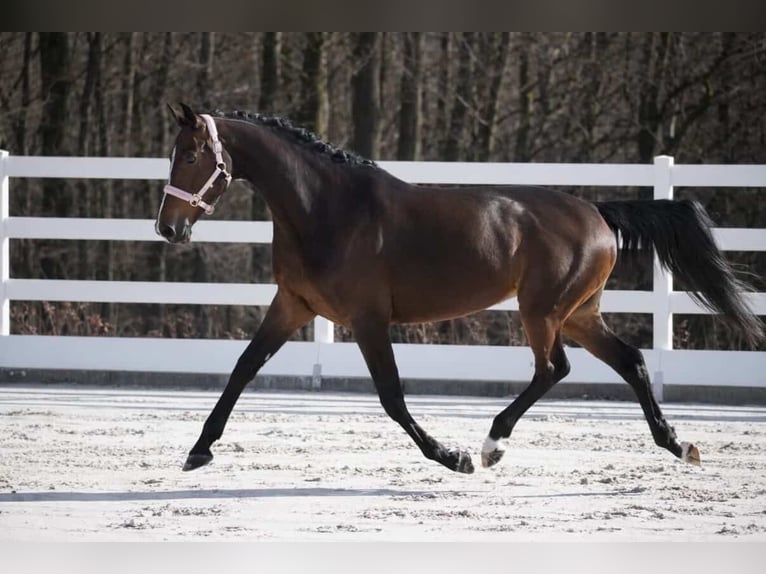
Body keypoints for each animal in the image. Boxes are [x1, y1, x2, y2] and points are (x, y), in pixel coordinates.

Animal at [156, 103, 763, 475]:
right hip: (578, 313)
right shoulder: (293, 305)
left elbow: (392, 396)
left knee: (554, 368)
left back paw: (492, 445)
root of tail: (596, 211)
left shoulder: (368, 319)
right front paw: (198, 451)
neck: (327, 209)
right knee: (631, 361)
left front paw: (452, 457)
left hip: (543, 310)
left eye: (191, 155)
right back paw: (679, 444)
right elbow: (243, 368)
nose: (168, 228)